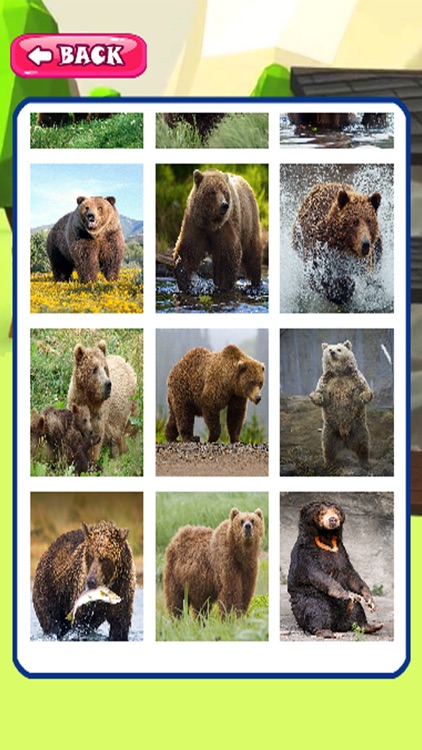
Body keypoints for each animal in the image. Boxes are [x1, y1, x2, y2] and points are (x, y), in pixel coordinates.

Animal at [287, 501, 383, 637]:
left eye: (337, 512)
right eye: (322, 513)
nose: (333, 519)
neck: (325, 538)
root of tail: (337, 625)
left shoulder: (341, 551)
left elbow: (350, 574)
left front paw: (370, 601)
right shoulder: (306, 553)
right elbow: (318, 574)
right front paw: (348, 594)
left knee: (357, 610)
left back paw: (370, 626)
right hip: (309, 600)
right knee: (316, 611)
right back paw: (326, 631)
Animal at [309, 340, 373, 469]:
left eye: (339, 349)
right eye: (329, 349)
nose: (332, 352)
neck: (339, 372)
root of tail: (345, 440)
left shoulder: (354, 378)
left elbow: (363, 389)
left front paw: (366, 395)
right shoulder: (327, 381)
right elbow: (322, 393)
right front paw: (314, 396)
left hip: (358, 428)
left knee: (363, 444)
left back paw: (365, 462)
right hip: (330, 429)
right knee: (327, 446)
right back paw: (328, 463)